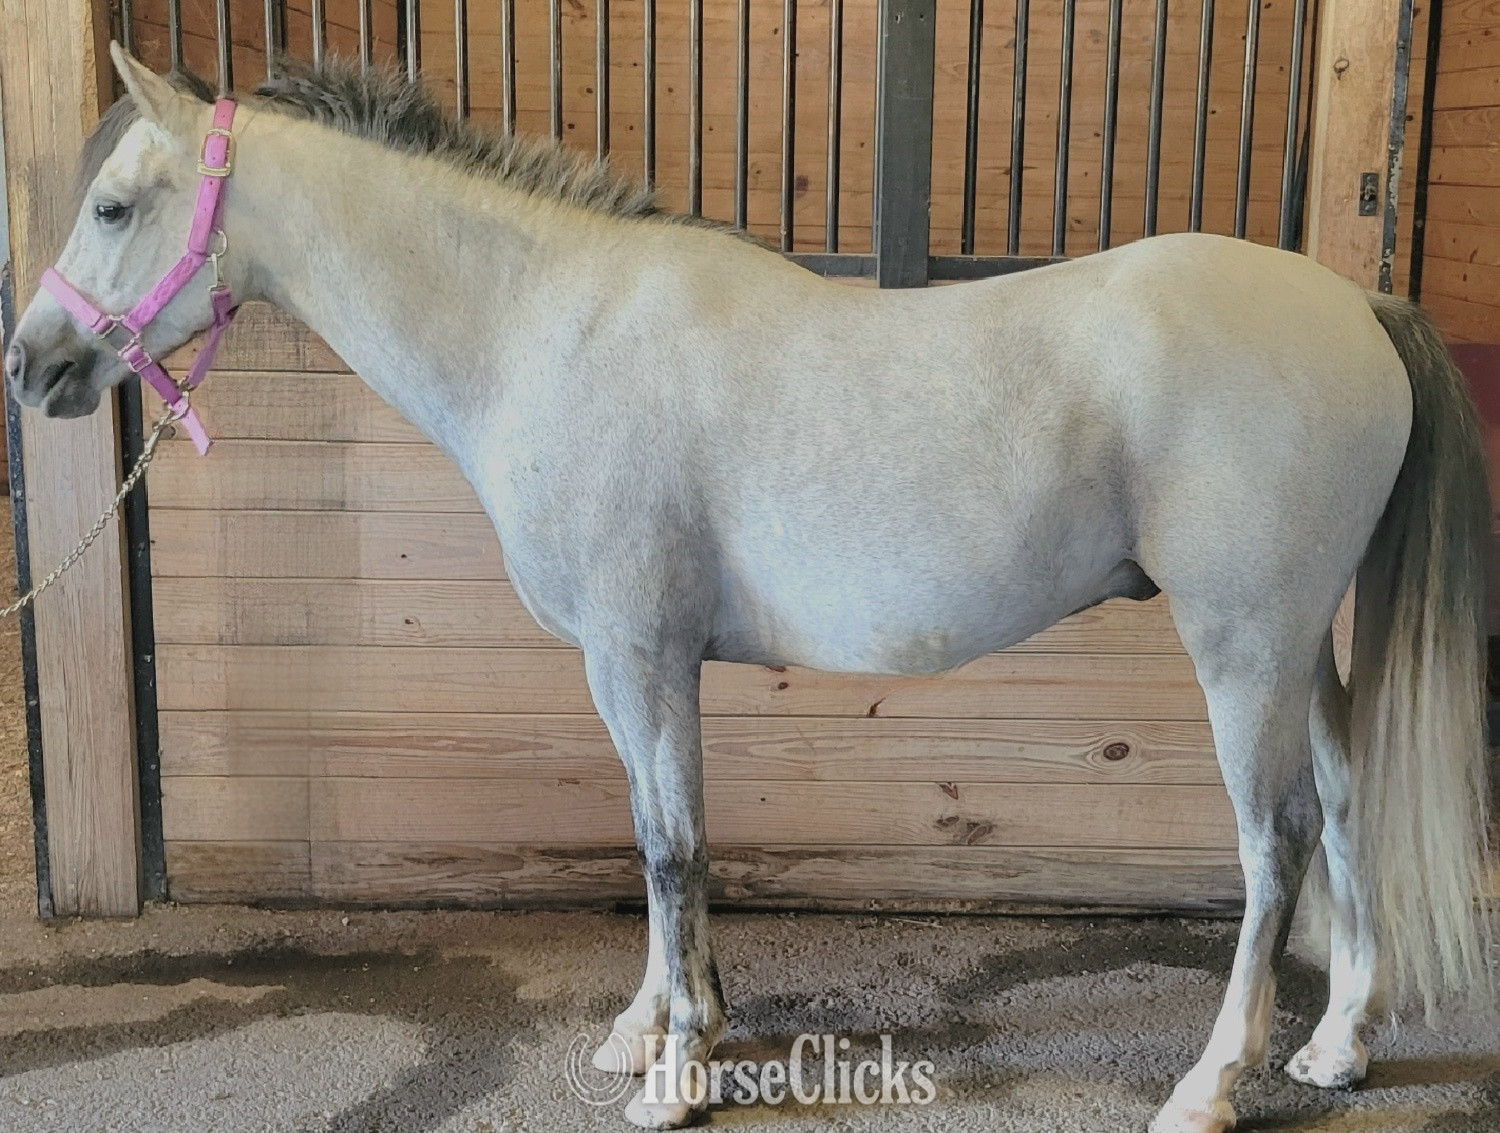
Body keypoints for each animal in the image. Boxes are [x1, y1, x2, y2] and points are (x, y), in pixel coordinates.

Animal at [6, 44, 1492, 1133]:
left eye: (114, 204)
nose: (31, 364)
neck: (548, 325)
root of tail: (1358, 310)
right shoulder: (639, 665)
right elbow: (656, 831)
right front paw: (656, 1029)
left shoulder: (638, 652)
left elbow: (672, 848)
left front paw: (676, 1074)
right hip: (1304, 646)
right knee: (1345, 795)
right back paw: (1339, 1047)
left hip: (1243, 645)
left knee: (1275, 840)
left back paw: (1208, 1084)